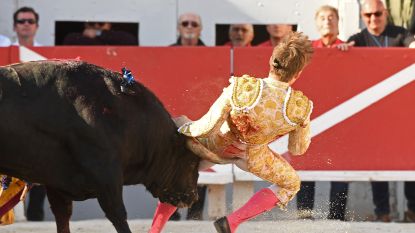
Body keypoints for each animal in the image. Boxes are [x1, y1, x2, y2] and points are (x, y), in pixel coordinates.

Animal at [0, 60, 202, 233]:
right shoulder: (107, 176)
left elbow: (63, 217)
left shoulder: (56, 182)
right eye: (192, 162)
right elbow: (118, 215)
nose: (193, 197)